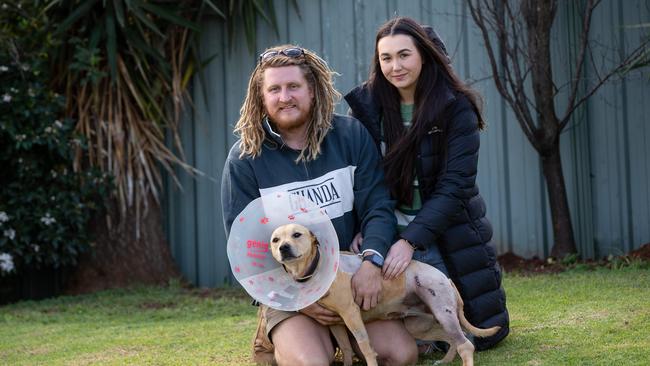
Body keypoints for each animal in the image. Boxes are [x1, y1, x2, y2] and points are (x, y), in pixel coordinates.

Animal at [266, 223, 498, 366]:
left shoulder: (351, 316)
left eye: (297, 234)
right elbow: (346, 349)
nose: (284, 247)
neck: (316, 270)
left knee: (465, 345)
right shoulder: (335, 323)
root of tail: (446, 278)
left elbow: (365, 347)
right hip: (419, 326)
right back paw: (444, 361)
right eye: (275, 240)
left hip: (443, 314)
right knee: (451, 340)